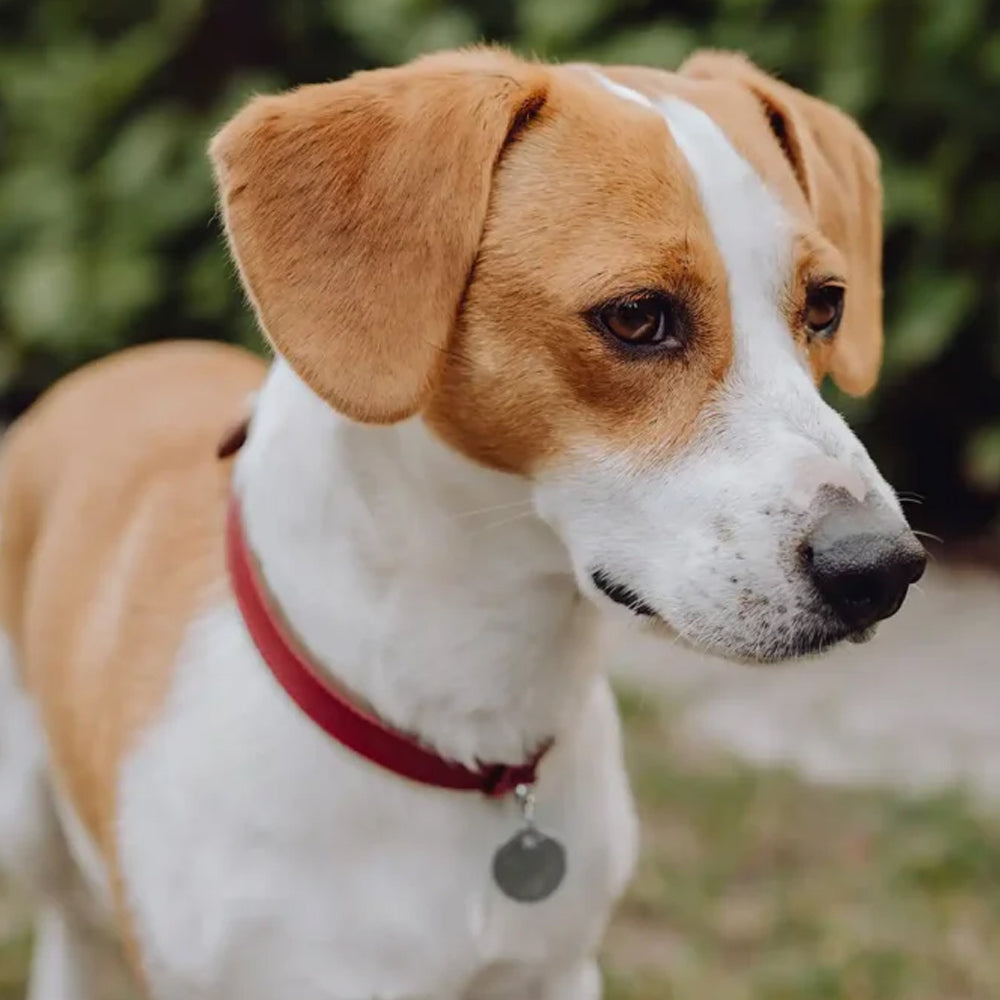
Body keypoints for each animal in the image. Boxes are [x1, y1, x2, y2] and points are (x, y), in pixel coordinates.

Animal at [0, 45, 920, 1000]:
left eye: (827, 305)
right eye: (636, 316)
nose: (879, 569)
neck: (470, 713)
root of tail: (124, 363)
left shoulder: (558, 972)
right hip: (29, 823)